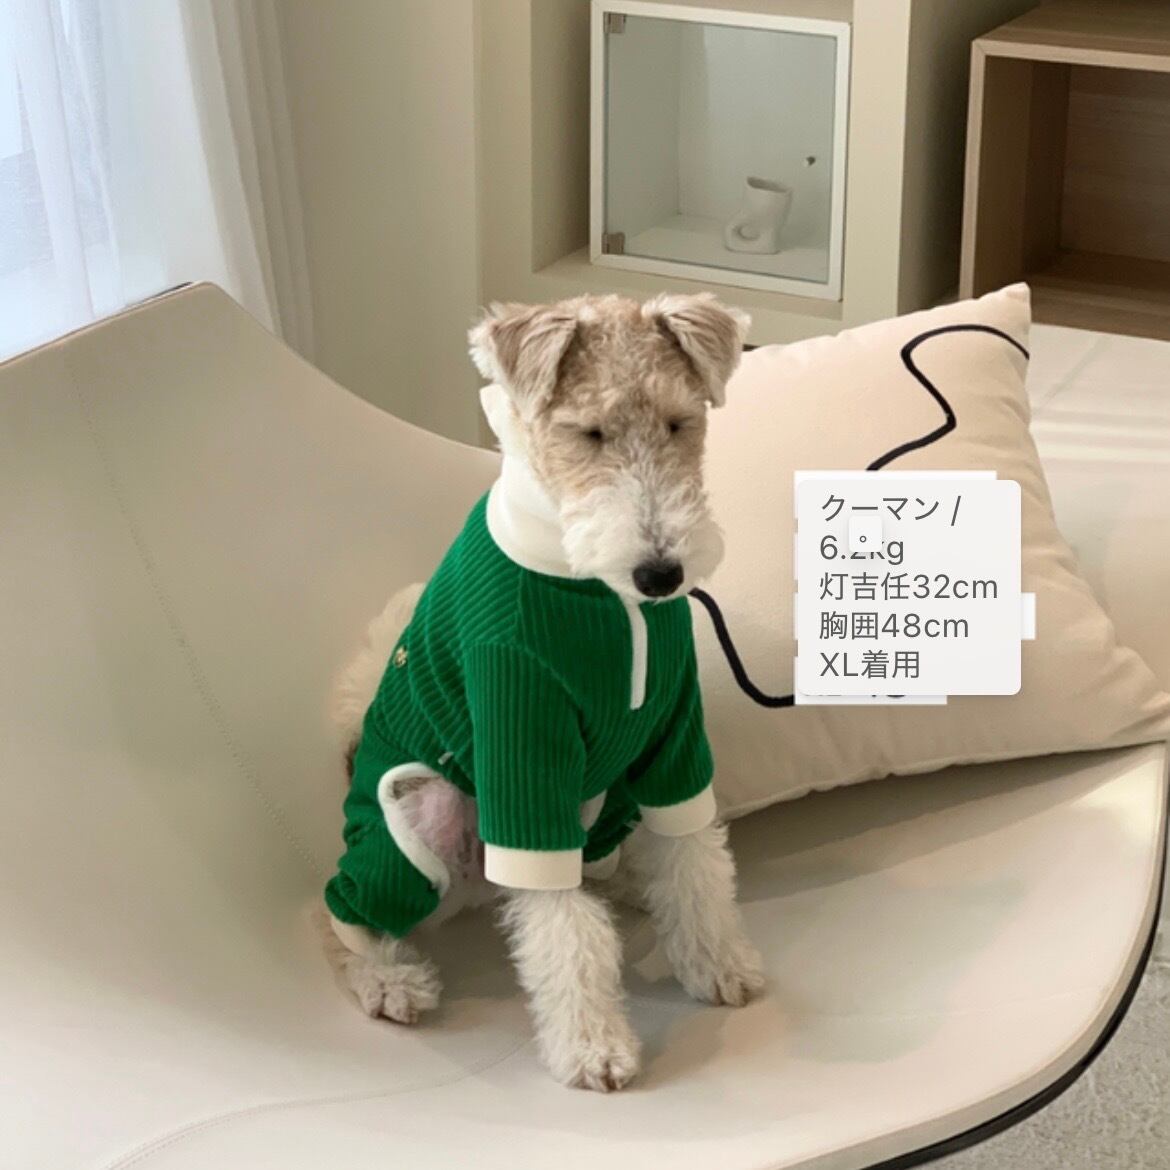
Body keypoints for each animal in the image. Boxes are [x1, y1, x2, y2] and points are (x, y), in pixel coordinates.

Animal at [323, 292, 764, 1092]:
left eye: (680, 422)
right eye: (587, 433)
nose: (661, 574)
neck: (598, 592)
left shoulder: (674, 738)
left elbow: (695, 860)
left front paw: (720, 964)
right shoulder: (522, 748)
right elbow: (564, 927)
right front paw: (594, 1047)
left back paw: (632, 885)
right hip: (417, 821)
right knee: (340, 915)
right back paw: (391, 981)